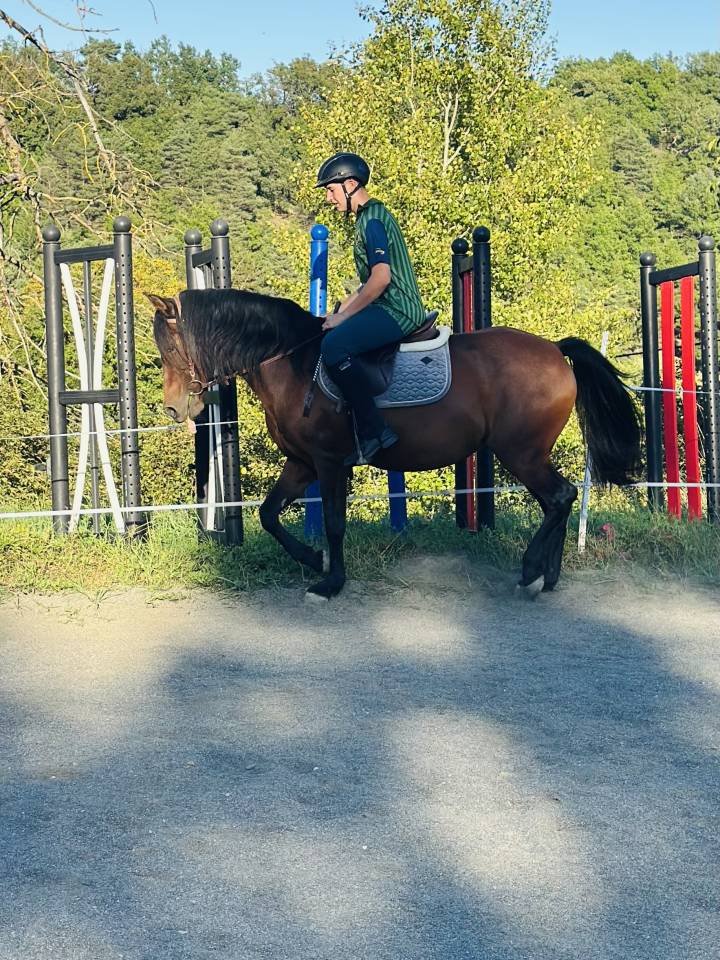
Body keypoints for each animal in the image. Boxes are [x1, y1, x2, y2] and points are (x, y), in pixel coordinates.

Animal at [147, 288, 641, 601]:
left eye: (170, 350)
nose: (172, 408)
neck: (294, 362)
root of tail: (556, 352)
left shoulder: (329, 463)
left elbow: (334, 523)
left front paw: (330, 581)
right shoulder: (301, 463)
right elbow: (269, 515)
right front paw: (312, 559)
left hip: (521, 453)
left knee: (559, 497)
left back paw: (531, 573)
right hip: (527, 454)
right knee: (560, 499)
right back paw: (547, 576)